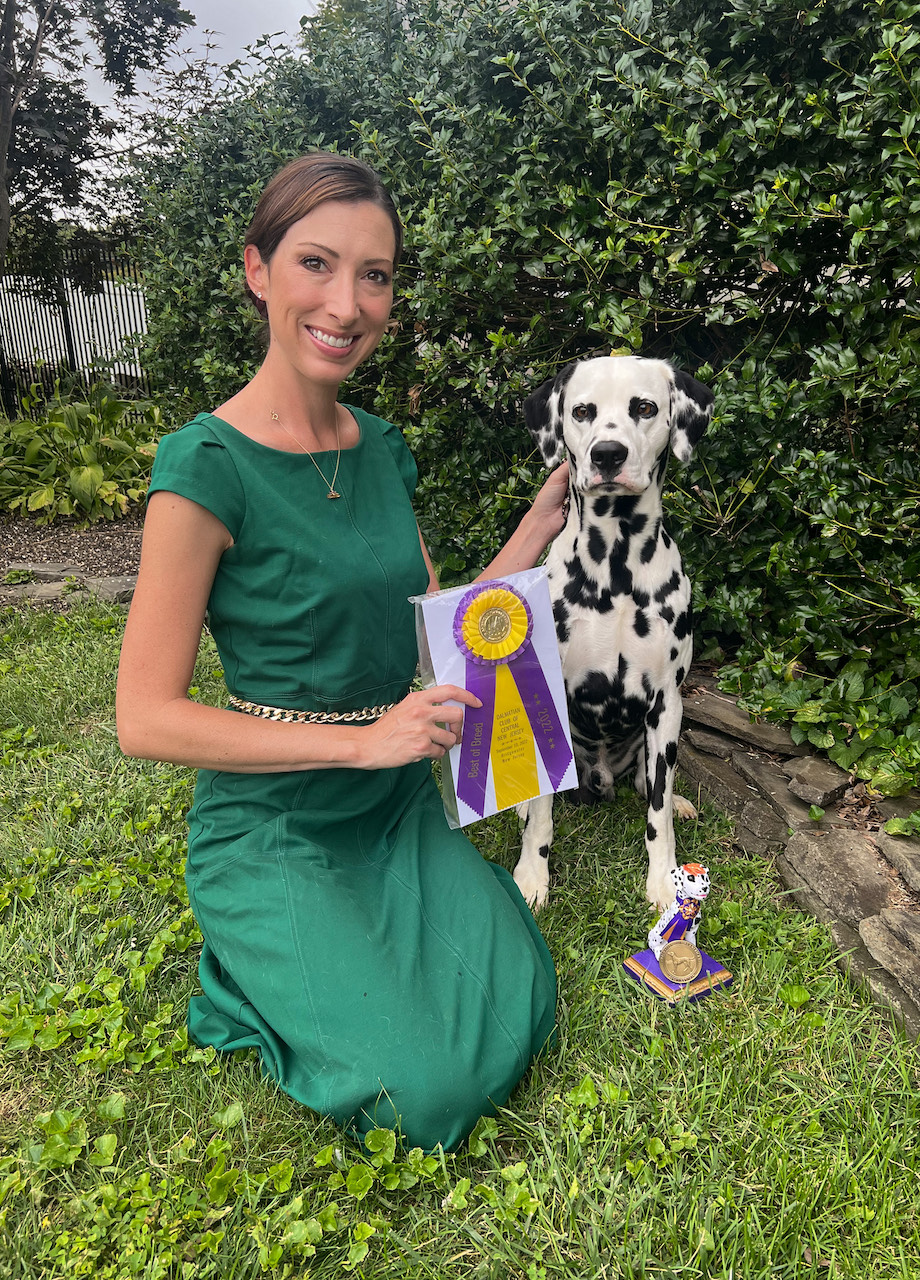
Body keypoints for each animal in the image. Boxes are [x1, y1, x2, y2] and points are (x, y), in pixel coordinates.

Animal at [513, 355, 714, 912]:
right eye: (582, 411)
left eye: (643, 407)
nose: (607, 453)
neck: (615, 567)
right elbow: (542, 816)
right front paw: (532, 876)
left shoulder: (666, 703)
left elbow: (657, 812)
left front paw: (664, 879)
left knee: (651, 784)